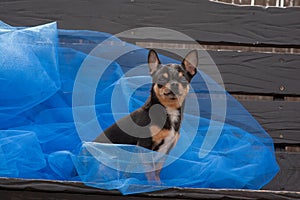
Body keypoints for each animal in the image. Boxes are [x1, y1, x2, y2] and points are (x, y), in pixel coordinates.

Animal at [94, 49, 197, 182]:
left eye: (183, 79)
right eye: (161, 80)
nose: (174, 84)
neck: (169, 110)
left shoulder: (165, 151)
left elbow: (157, 171)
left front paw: (158, 183)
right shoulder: (145, 146)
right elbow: (150, 172)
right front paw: (152, 184)